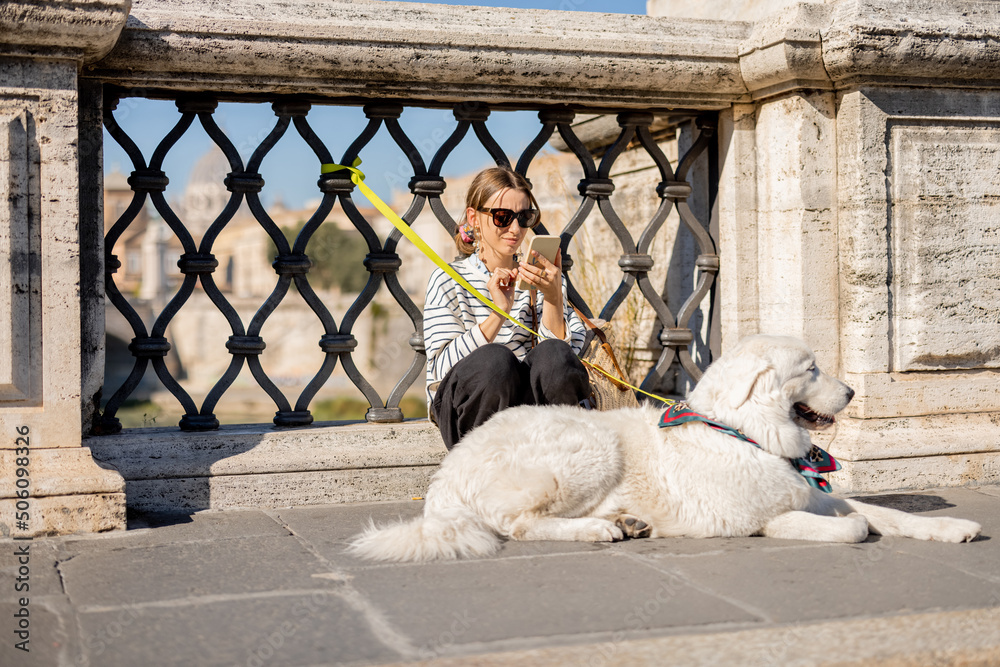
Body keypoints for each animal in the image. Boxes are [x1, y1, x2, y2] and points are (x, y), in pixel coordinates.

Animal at [348, 336, 980, 560]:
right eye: (811, 368)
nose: (851, 391)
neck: (745, 433)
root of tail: (444, 477)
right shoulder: (762, 517)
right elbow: (854, 527)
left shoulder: (816, 494)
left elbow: (881, 512)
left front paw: (953, 528)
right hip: (589, 446)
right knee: (518, 524)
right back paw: (599, 531)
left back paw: (627, 522)